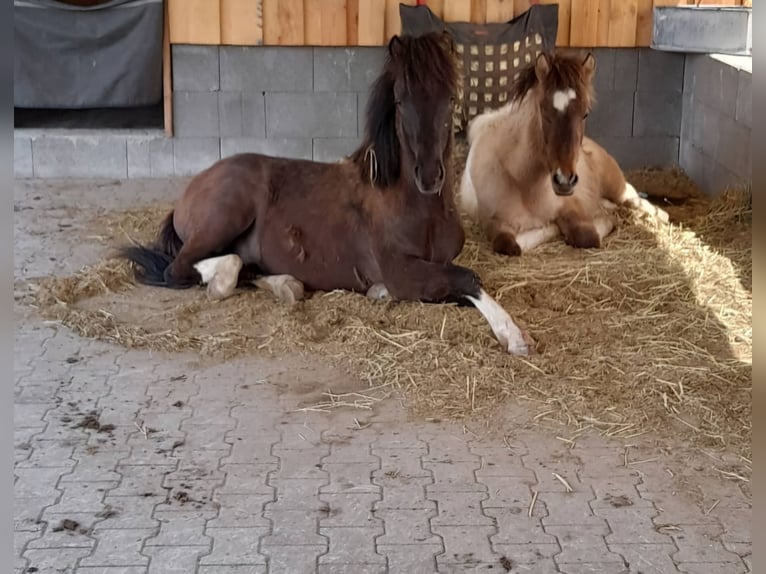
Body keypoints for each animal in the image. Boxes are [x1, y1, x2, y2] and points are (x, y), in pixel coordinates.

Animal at [120, 32, 536, 356]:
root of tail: (193, 188)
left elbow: (462, 281)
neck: (417, 208)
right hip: (225, 216)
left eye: (450, 98)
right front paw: (515, 336)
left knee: (246, 266)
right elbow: (468, 278)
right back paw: (229, 280)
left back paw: (286, 285)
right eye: (401, 100)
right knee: (184, 269)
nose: (430, 176)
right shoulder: (402, 273)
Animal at [460, 50, 668, 258]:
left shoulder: (572, 207)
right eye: (544, 111)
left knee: (633, 198)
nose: (564, 180)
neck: (523, 183)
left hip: (616, 188)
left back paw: (660, 216)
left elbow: (587, 236)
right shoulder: (494, 223)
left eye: (585, 113)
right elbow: (510, 245)